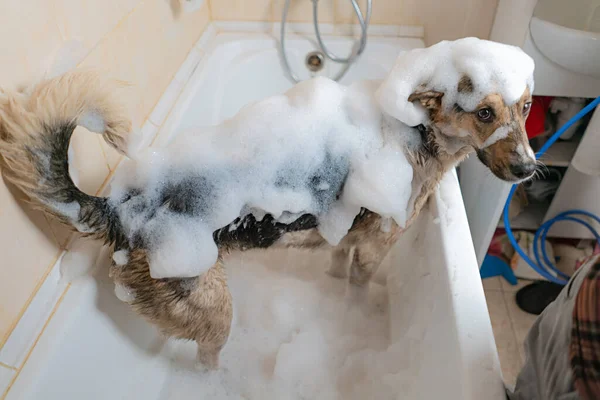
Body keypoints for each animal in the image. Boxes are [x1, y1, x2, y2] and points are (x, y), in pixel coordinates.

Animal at [0, 37, 536, 368]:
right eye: (484, 113)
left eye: (526, 106)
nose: (529, 170)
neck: (415, 132)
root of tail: (120, 208)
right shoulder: (374, 250)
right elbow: (360, 287)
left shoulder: (348, 241)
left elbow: (338, 270)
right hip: (215, 314)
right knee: (206, 360)